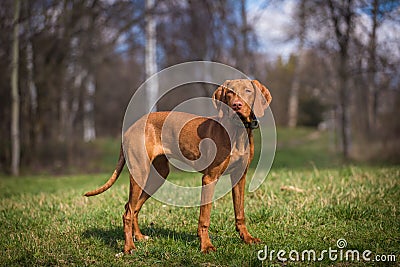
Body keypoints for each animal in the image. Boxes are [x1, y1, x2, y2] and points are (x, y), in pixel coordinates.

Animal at [84, 79, 272, 253]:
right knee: (128, 212)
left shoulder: (240, 177)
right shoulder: (209, 178)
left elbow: (240, 212)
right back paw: (129, 246)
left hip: (158, 176)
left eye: (248, 91)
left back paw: (139, 236)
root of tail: (130, 128)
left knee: (132, 207)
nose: (236, 105)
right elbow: (205, 217)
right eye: (230, 93)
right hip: (140, 172)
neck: (237, 132)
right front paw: (206, 245)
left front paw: (247, 238)